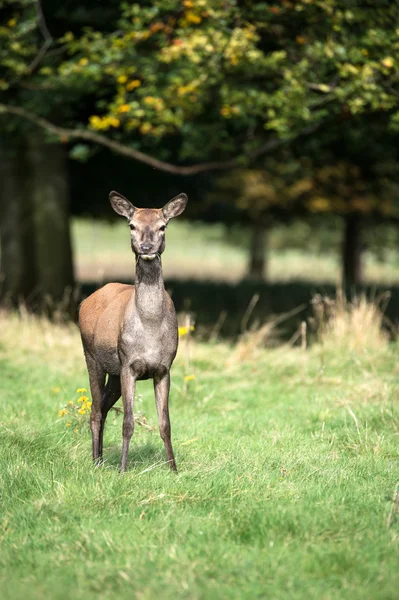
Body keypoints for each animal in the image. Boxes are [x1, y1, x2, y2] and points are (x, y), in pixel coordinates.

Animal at [80, 190, 191, 472]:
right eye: (131, 225)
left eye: (163, 226)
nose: (147, 247)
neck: (149, 327)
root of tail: (85, 301)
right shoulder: (128, 363)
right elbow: (128, 422)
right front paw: (122, 470)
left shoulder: (164, 368)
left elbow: (165, 424)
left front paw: (174, 470)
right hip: (92, 356)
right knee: (95, 409)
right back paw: (95, 463)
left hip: (114, 372)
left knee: (104, 407)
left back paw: (100, 458)